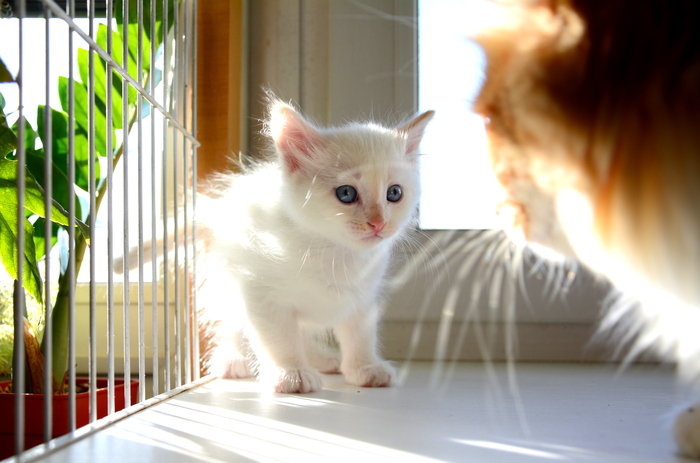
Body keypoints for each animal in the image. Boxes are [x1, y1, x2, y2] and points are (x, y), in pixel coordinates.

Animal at [164, 97, 434, 393]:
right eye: (346, 193)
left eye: (394, 193)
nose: (378, 222)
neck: (333, 254)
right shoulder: (261, 294)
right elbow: (278, 338)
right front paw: (291, 373)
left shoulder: (362, 297)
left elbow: (360, 334)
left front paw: (365, 368)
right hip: (226, 279)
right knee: (233, 323)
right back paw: (233, 359)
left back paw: (323, 359)